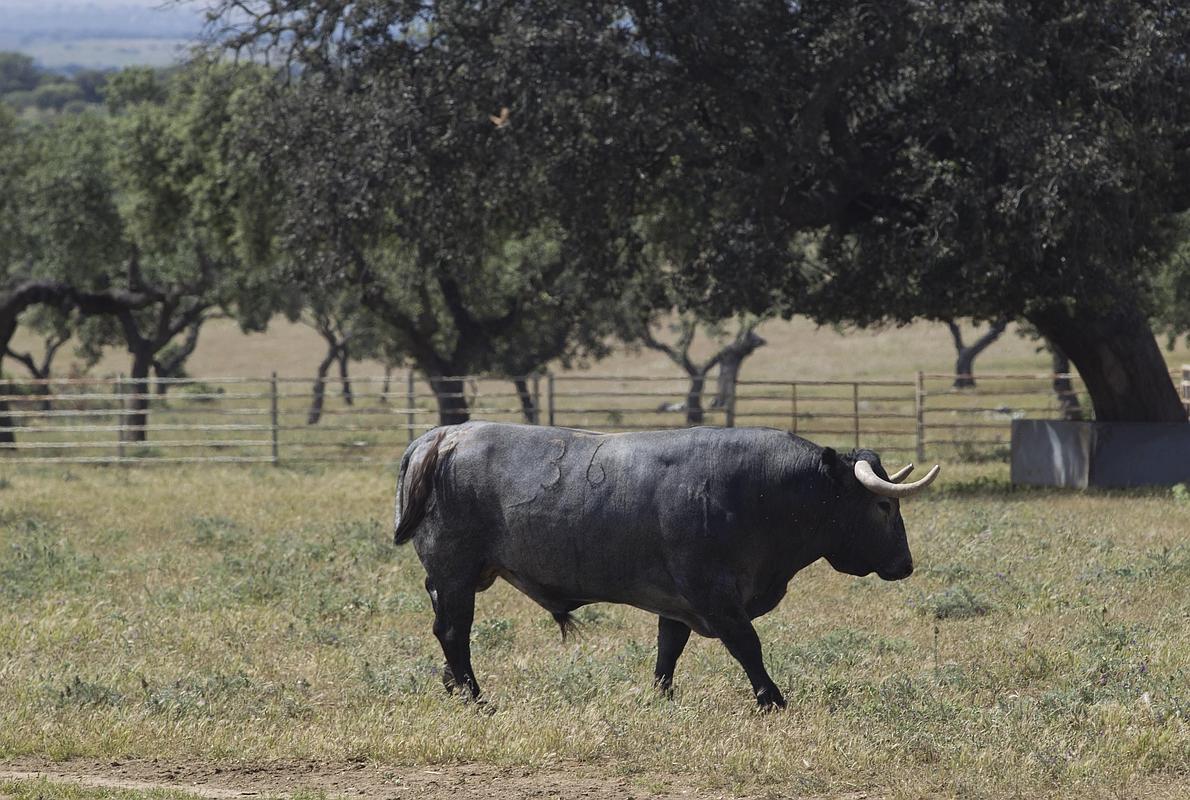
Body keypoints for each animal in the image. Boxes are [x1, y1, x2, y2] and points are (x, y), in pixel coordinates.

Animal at [392, 421, 937, 709]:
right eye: (883, 506)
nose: (906, 563)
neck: (758, 492)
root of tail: (444, 436)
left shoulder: (677, 602)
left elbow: (668, 649)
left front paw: (662, 697)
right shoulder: (713, 595)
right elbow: (748, 646)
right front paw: (772, 699)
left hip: (451, 579)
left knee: (446, 629)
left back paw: (455, 685)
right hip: (456, 573)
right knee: (454, 632)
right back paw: (474, 695)